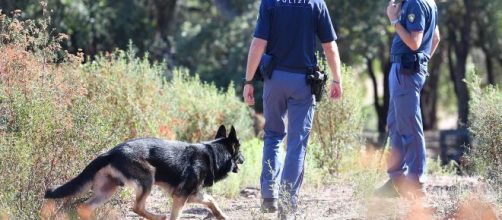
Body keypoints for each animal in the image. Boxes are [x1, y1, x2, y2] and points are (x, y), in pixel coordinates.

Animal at [44, 124, 244, 219]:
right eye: (240, 151)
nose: (244, 159)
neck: (213, 154)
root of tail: (111, 152)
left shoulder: (191, 194)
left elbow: (211, 201)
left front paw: (222, 216)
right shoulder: (181, 196)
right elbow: (176, 215)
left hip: (107, 191)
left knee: (84, 207)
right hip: (148, 178)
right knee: (137, 207)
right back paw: (158, 217)